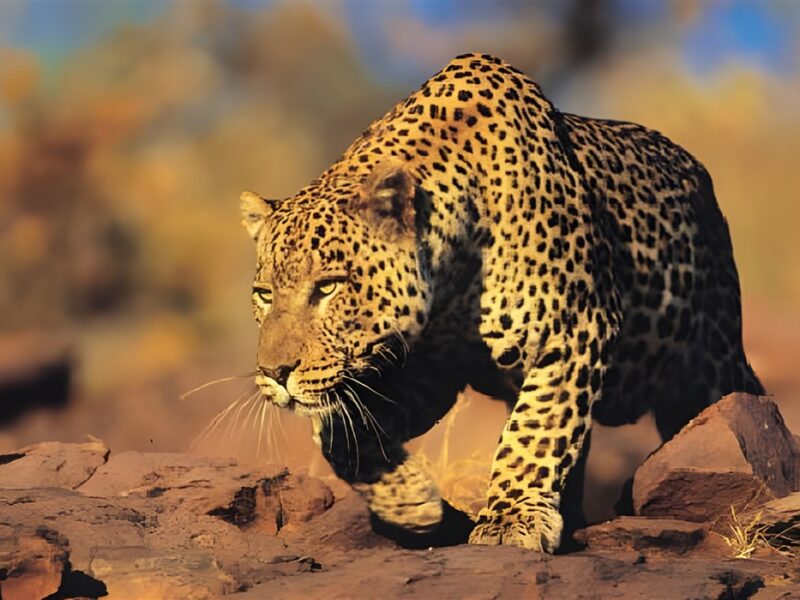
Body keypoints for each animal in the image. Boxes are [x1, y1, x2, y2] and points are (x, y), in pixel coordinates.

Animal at [238, 53, 764, 553]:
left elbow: (533, 431)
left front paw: (511, 519)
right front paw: (413, 504)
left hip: (709, 359)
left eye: (327, 287)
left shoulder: (575, 330)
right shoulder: (427, 372)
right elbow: (339, 435)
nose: (273, 374)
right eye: (264, 295)